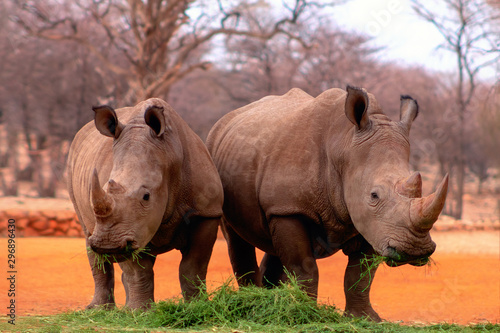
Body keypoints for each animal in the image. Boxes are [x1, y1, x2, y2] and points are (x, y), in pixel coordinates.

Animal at [67, 97, 224, 308]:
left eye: (146, 196)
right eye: (106, 187)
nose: (108, 245)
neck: (169, 156)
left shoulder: (206, 212)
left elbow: (193, 266)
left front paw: (197, 306)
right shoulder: (128, 229)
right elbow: (138, 271)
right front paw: (140, 311)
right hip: (71, 167)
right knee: (88, 234)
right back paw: (99, 309)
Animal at [205, 85, 448, 320]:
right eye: (374, 195)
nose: (415, 250)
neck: (343, 145)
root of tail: (225, 119)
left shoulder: (371, 223)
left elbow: (360, 274)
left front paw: (365, 318)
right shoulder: (289, 209)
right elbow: (305, 267)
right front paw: (306, 313)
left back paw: (269, 301)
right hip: (216, 156)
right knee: (236, 237)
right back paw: (251, 302)